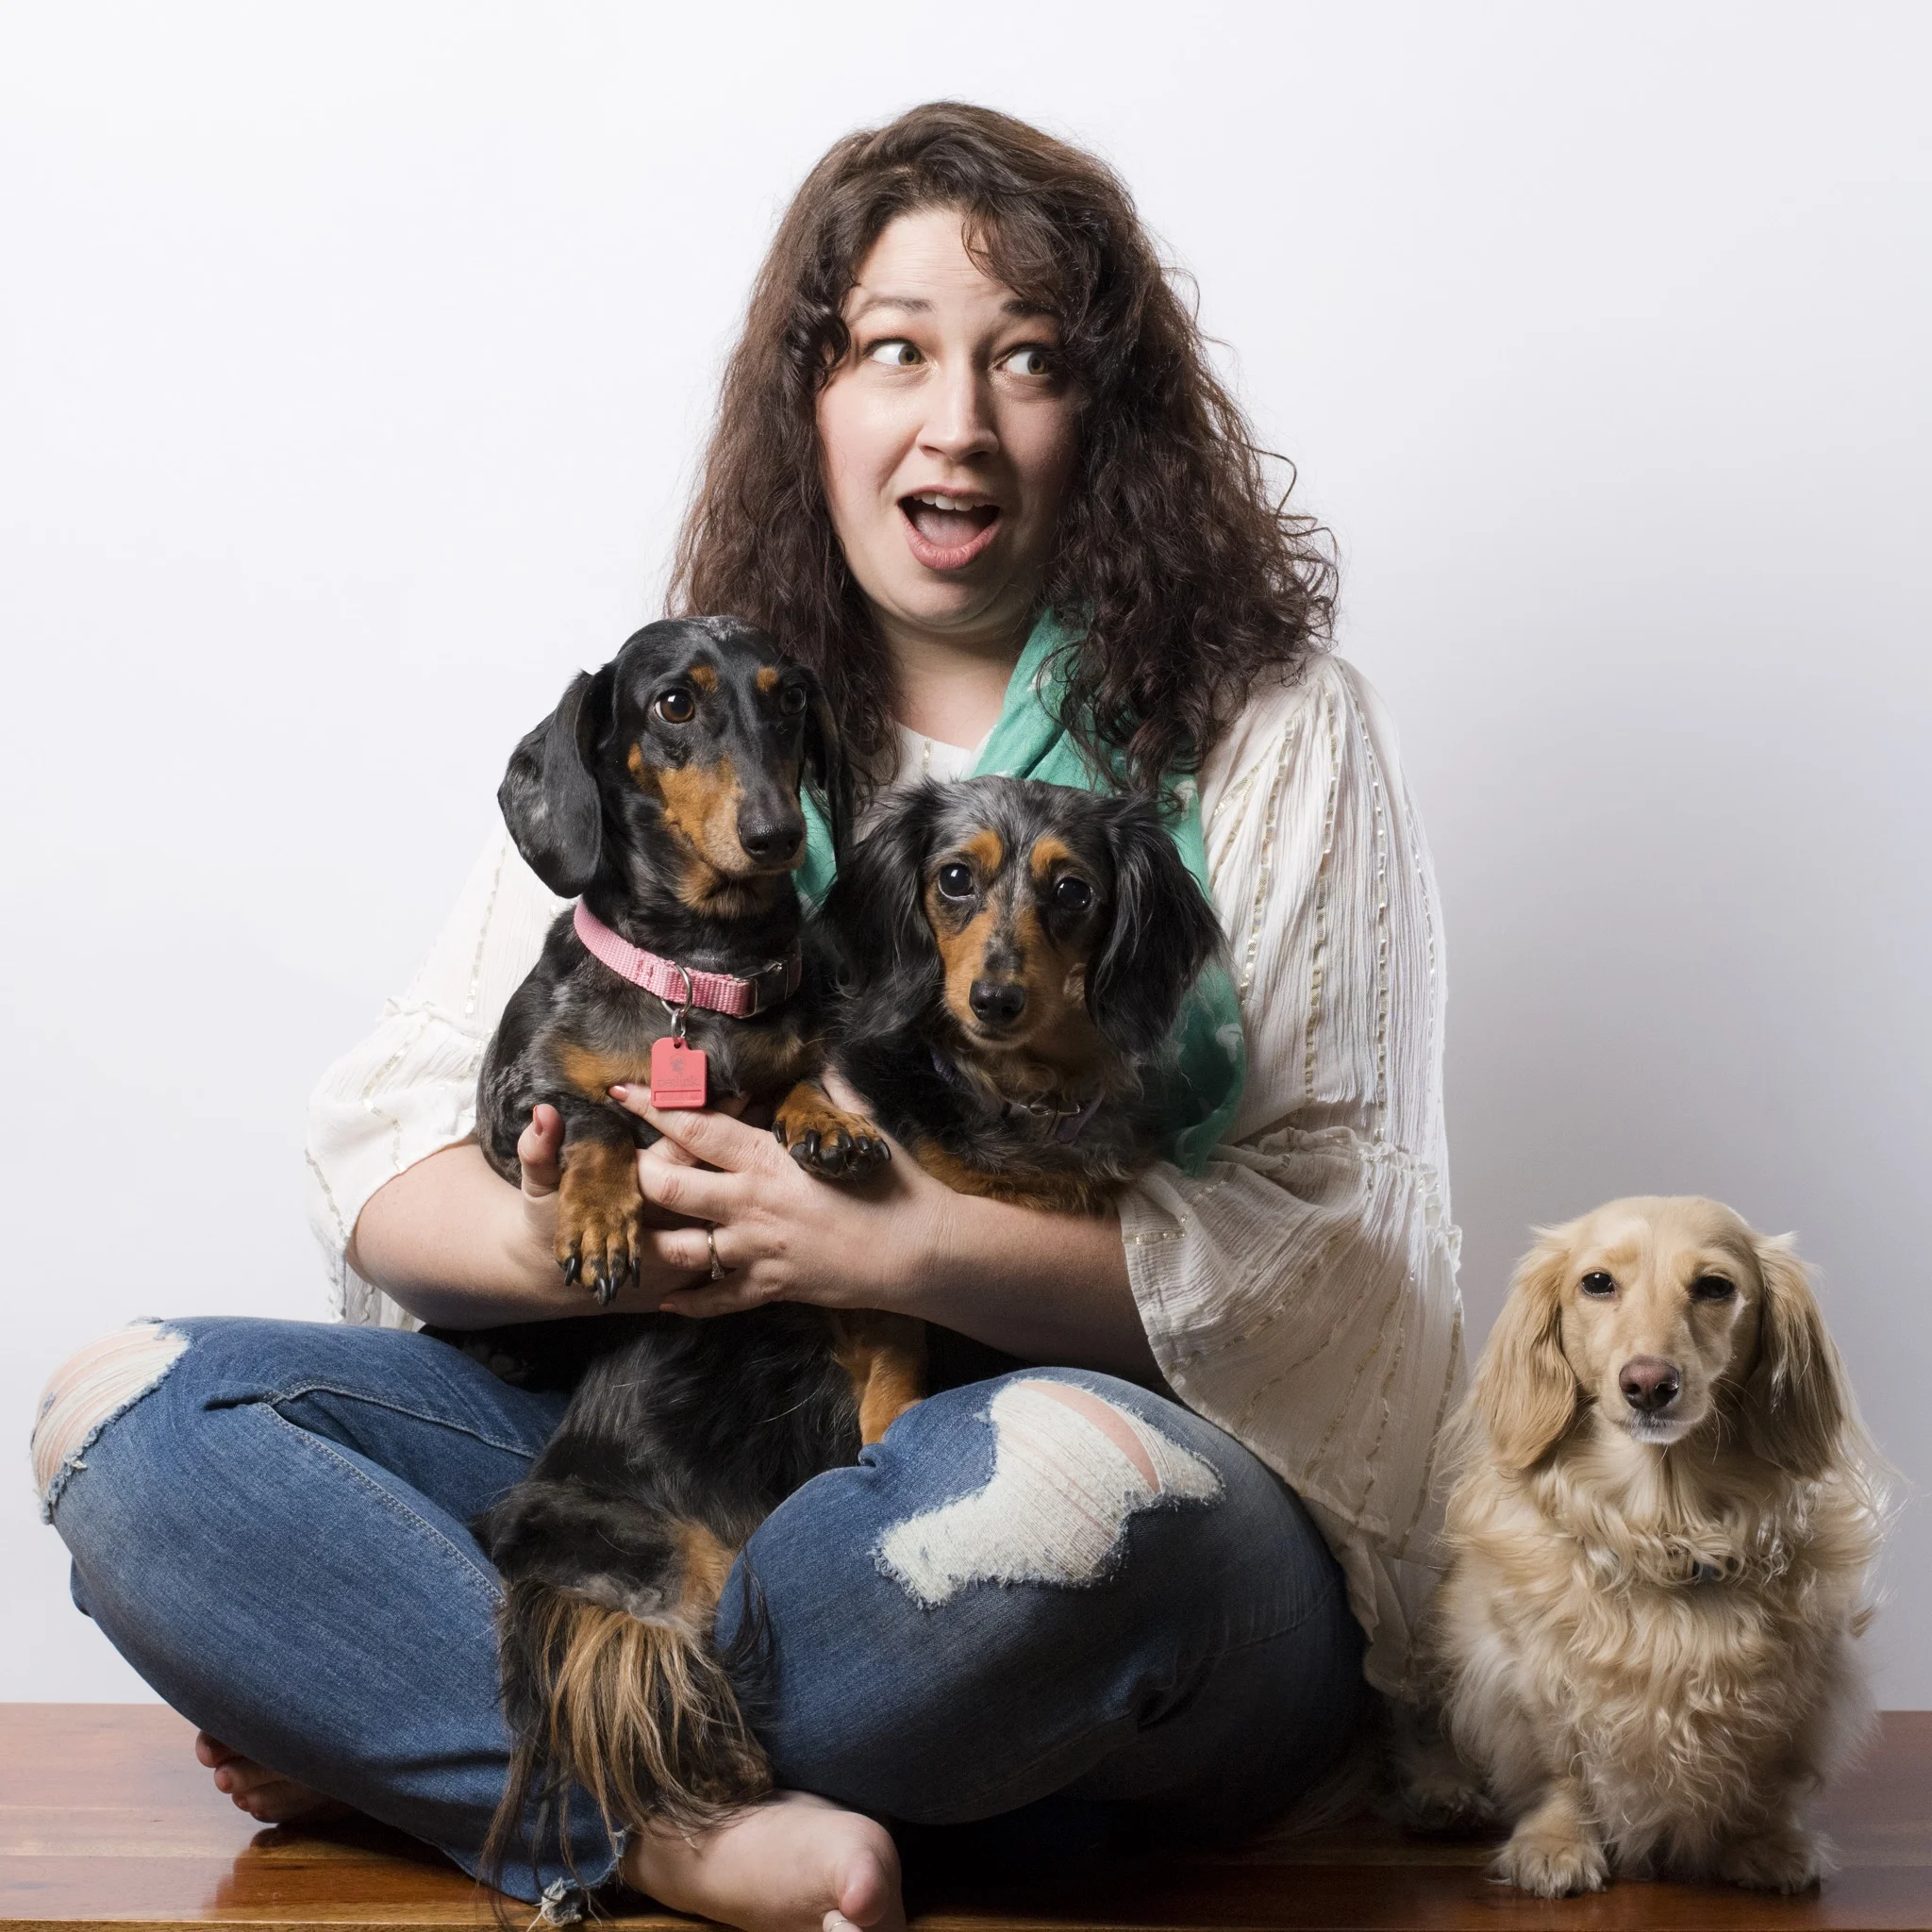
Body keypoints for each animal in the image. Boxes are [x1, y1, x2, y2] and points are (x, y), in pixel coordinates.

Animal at [1411, 1196, 1887, 1896]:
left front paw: (1766, 1843)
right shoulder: (1530, 1674)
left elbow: (1768, 1771)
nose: (1648, 1384)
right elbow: (1560, 1768)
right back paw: (1444, 1795)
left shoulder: (1798, 1683)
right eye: (1597, 1282)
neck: (1664, 1524)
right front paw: (1556, 1843)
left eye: (1715, 1287)